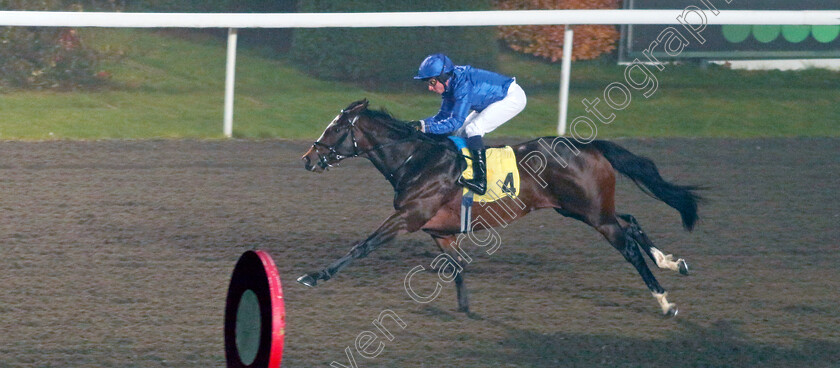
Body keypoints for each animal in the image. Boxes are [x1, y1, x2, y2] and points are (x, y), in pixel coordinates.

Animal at [298, 98, 700, 316]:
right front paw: (465, 308)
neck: (416, 159)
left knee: (628, 245)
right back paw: (671, 262)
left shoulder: (410, 216)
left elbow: (363, 245)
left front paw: (316, 276)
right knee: (631, 220)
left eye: (336, 129)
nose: (308, 159)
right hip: (582, 208)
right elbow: (456, 267)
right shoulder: (439, 230)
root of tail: (590, 145)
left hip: (592, 213)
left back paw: (665, 302)